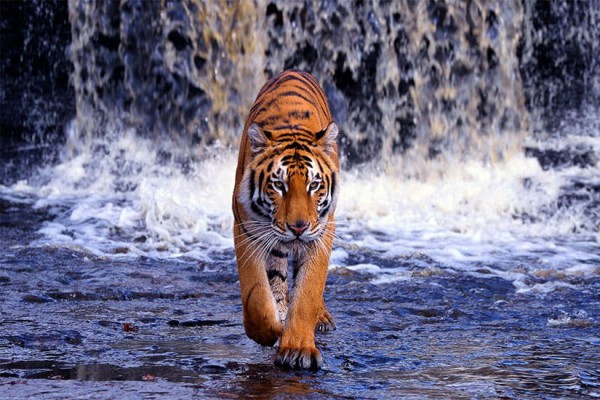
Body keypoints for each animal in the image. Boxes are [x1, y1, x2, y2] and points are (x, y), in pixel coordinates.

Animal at [232, 70, 340, 370]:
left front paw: (298, 348)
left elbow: (308, 292)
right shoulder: (246, 230)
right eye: (278, 185)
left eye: (314, 185)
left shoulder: (321, 233)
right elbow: (256, 294)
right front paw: (268, 331)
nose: (298, 227)